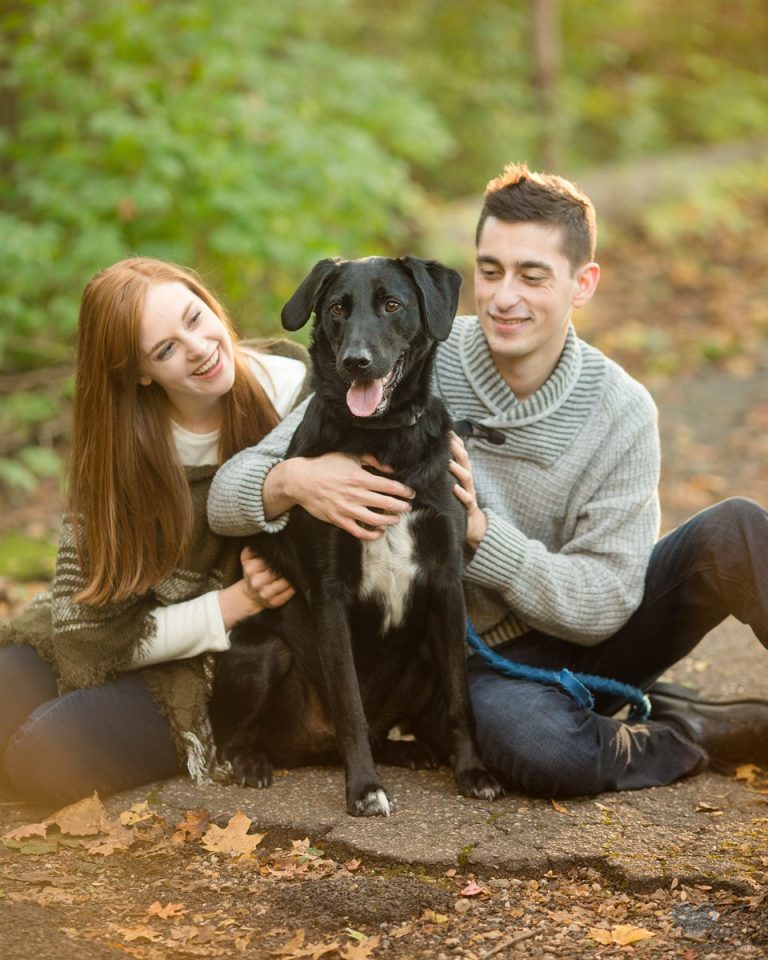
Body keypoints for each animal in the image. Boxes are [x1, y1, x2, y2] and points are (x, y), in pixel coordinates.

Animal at [208, 255, 504, 816]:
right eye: (336, 309)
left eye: (392, 304)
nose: (356, 363)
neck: (383, 440)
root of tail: (313, 747)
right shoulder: (330, 594)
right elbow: (349, 704)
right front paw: (365, 789)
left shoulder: (445, 584)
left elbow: (462, 699)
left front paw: (474, 772)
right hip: (261, 652)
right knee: (233, 735)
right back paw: (249, 762)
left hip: (424, 651)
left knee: (389, 723)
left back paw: (407, 751)